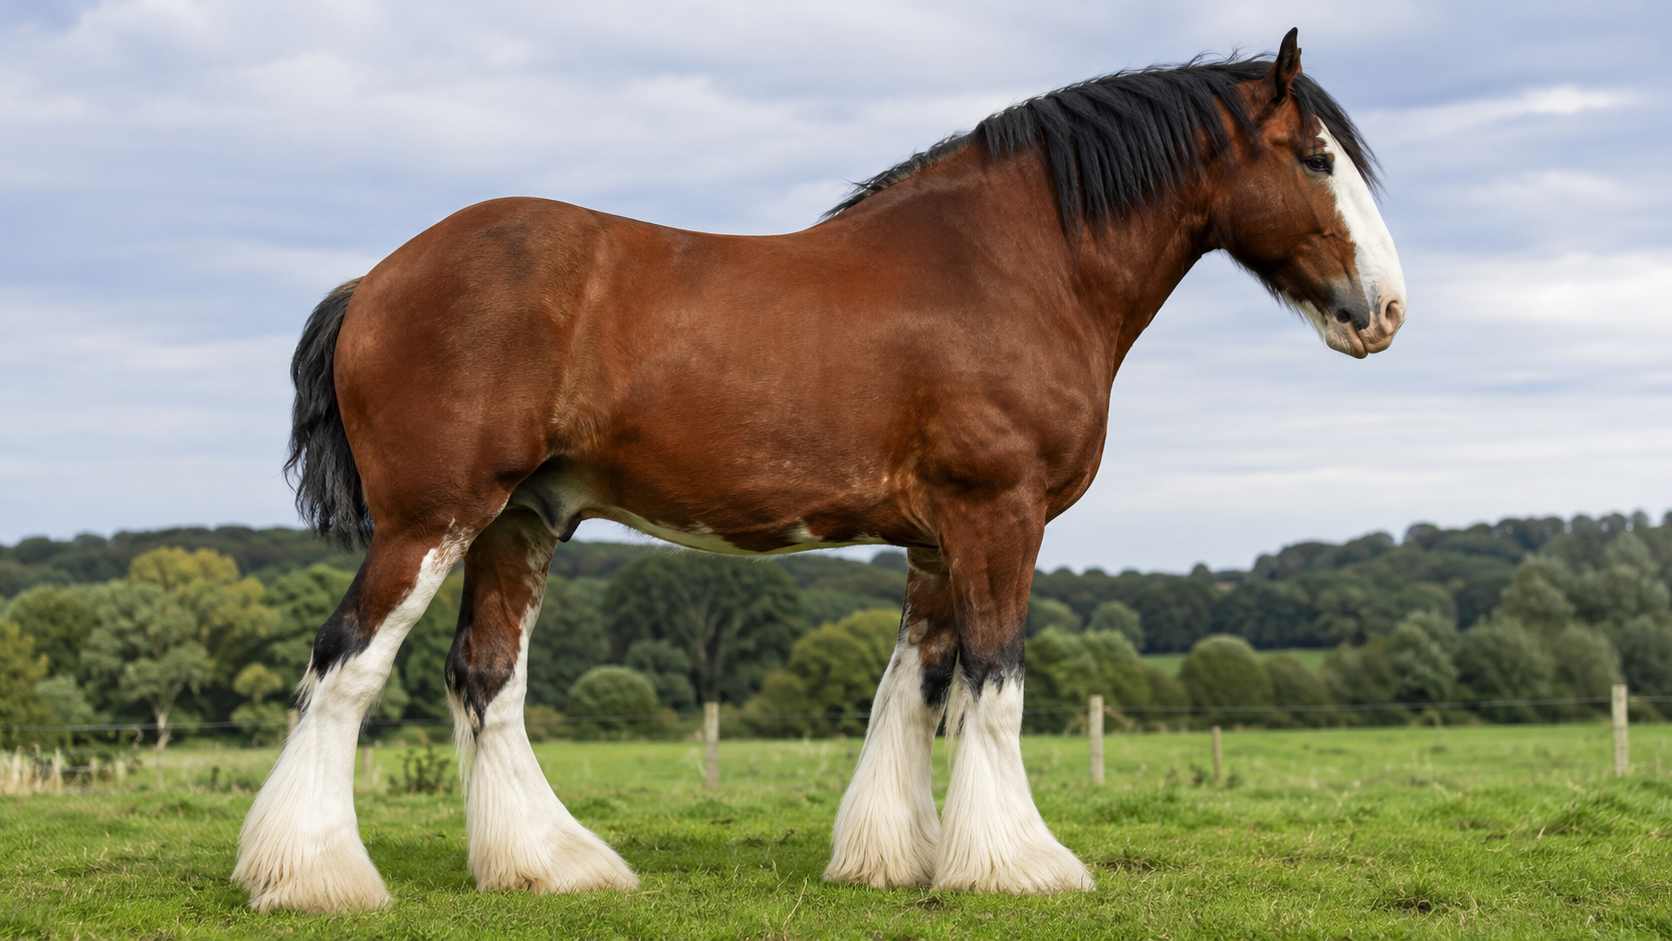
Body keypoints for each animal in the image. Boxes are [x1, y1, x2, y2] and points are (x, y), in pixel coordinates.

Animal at [233, 28, 1405, 912]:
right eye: (1315, 158)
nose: (1385, 310)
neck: (1009, 265)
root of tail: (377, 280)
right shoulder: (1001, 515)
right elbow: (995, 680)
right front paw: (1017, 864)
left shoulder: (936, 538)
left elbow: (914, 687)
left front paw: (897, 858)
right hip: (431, 518)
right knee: (346, 664)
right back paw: (315, 876)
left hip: (518, 523)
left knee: (485, 678)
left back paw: (549, 865)